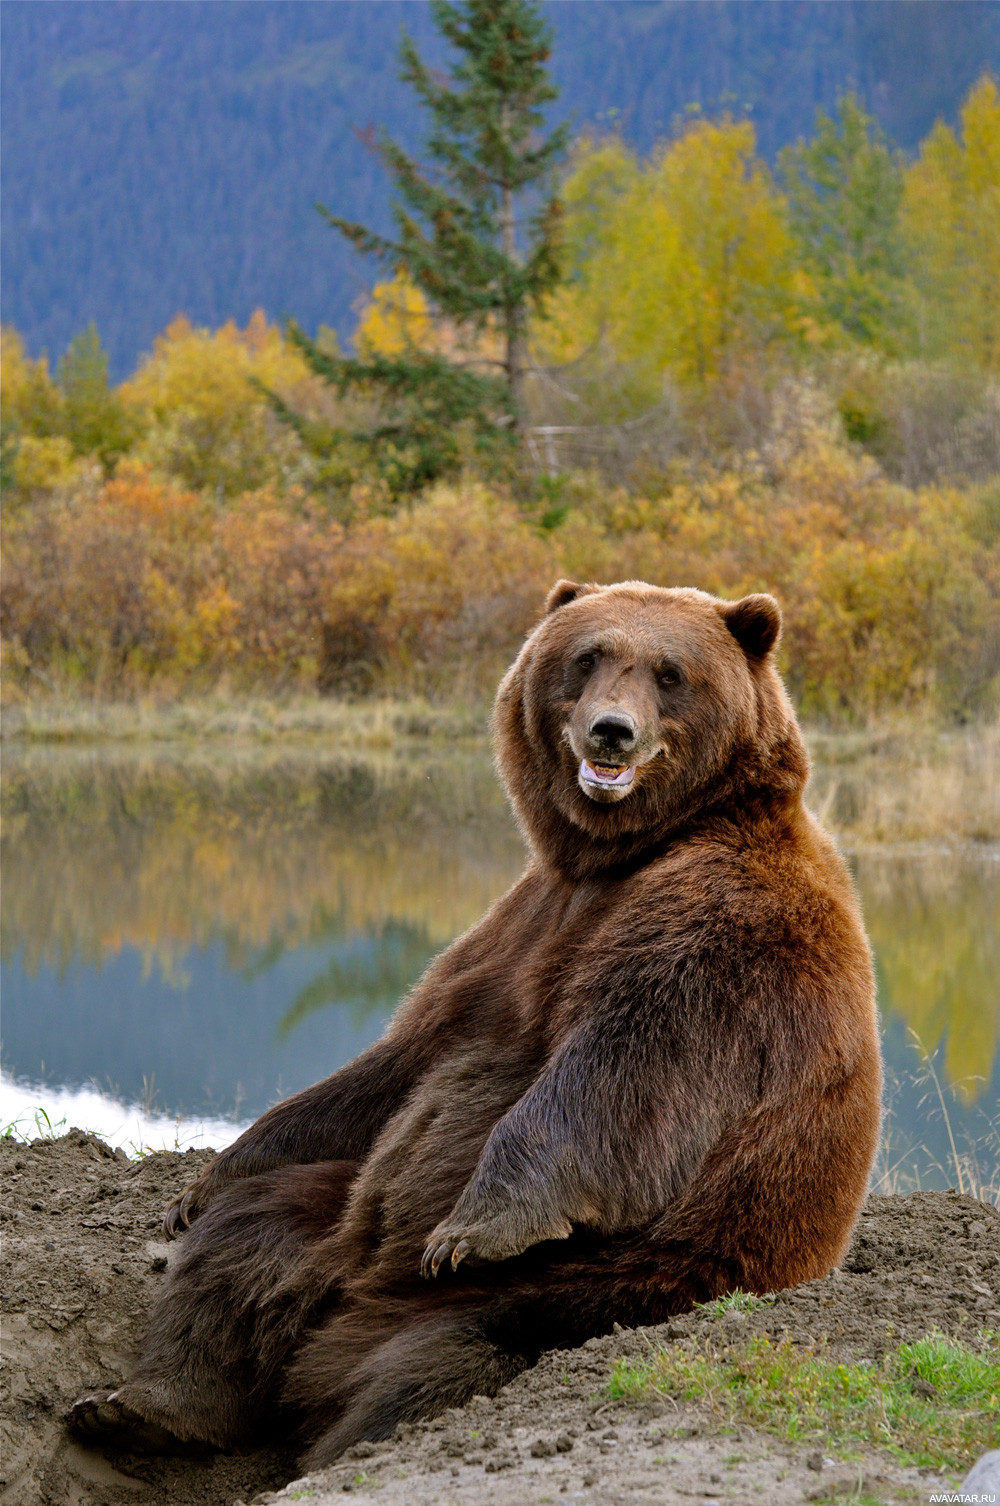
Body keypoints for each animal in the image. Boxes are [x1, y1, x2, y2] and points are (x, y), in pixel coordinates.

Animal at [70, 581, 879, 1475]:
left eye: (670, 672)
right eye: (588, 656)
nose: (611, 730)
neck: (617, 859)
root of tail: (345, 1307)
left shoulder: (719, 930)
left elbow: (626, 1066)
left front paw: (475, 1226)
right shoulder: (518, 929)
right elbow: (404, 1061)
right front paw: (199, 1183)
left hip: (599, 1283)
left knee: (433, 1364)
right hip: (334, 1215)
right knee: (244, 1245)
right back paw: (142, 1408)